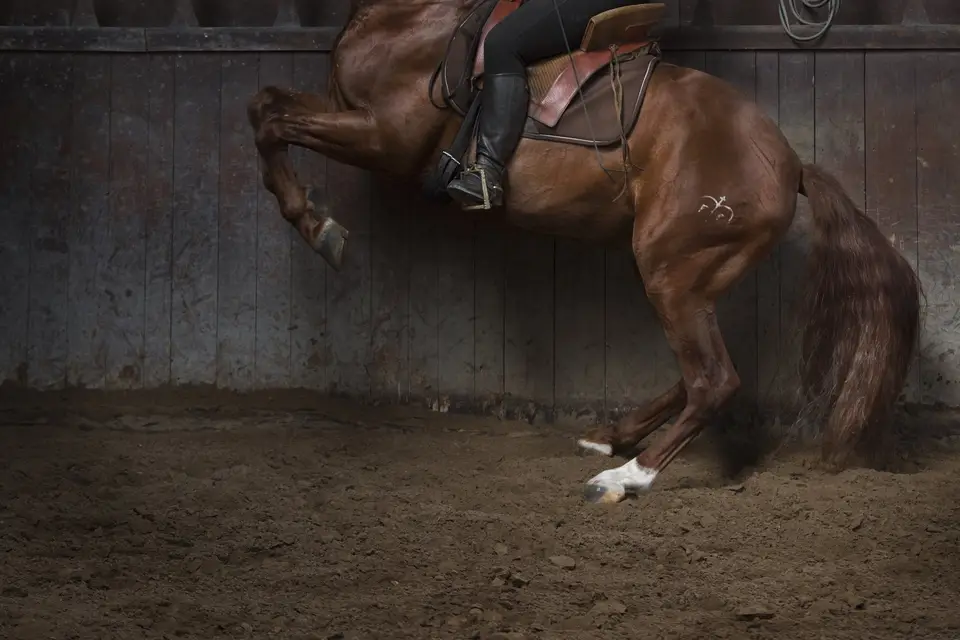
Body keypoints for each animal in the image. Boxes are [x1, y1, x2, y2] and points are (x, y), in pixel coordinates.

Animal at [247, 0, 921, 504]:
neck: (412, 21)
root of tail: (788, 163)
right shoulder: (352, 117)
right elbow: (266, 104)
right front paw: (312, 216)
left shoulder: (385, 136)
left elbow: (271, 121)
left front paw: (317, 225)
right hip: (693, 275)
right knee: (701, 373)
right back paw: (612, 437)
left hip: (670, 270)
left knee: (713, 380)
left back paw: (624, 478)